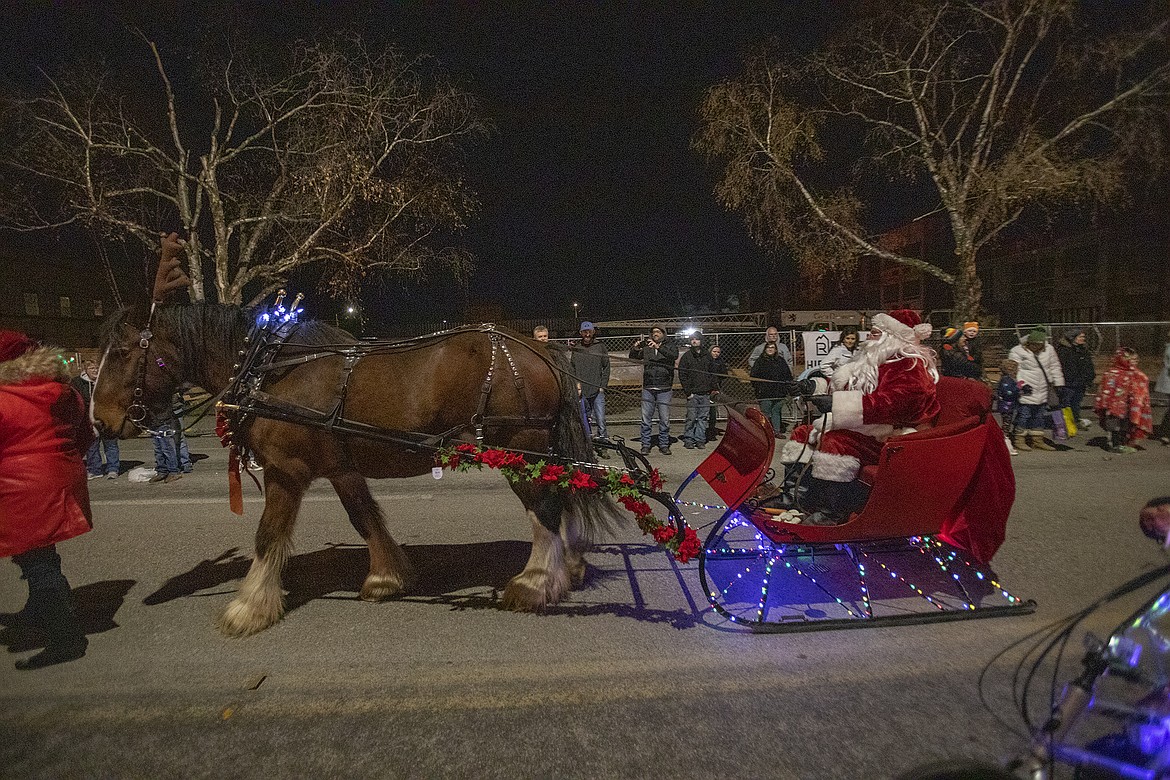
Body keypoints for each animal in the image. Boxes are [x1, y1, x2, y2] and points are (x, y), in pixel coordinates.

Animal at [91, 301, 622, 636]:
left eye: (123, 352)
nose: (99, 421)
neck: (269, 369)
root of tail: (541, 350)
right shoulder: (341, 469)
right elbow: (365, 519)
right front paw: (387, 578)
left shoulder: (286, 471)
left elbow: (268, 535)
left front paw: (249, 606)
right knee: (560, 500)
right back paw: (570, 567)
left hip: (519, 450)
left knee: (544, 512)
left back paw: (535, 583)